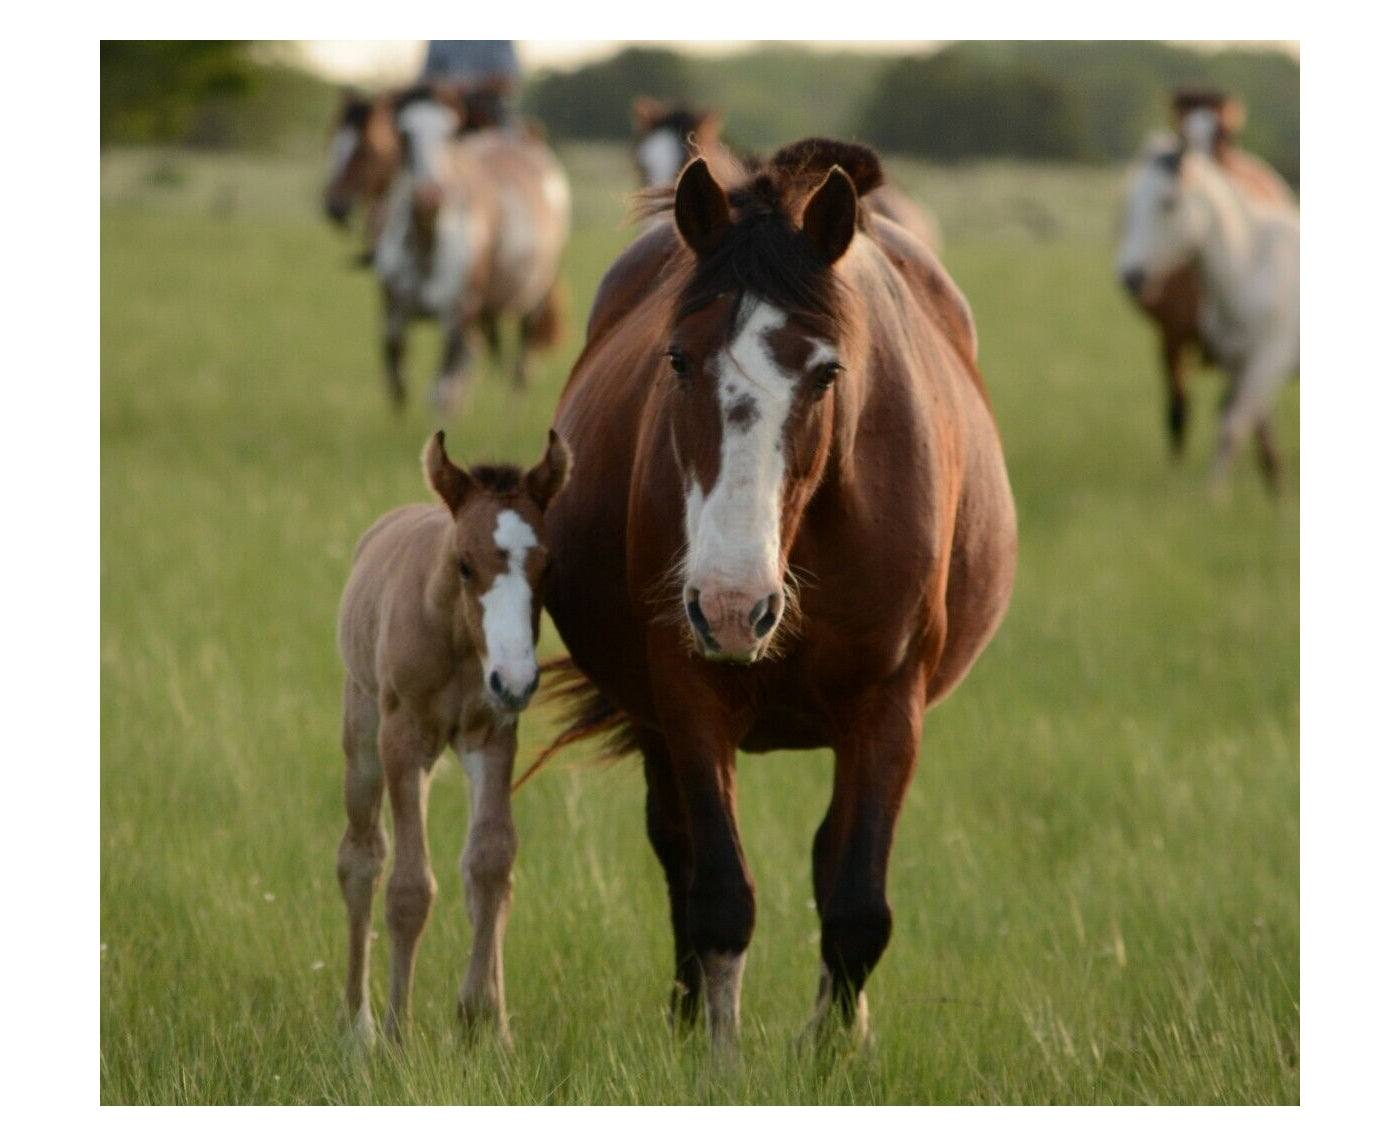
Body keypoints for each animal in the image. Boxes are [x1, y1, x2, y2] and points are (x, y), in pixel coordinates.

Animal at [335, 429, 572, 1049]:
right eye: (466, 564)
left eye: (548, 564)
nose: (516, 679)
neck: (459, 640)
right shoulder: (402, 742)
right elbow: (408, 887)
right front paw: (397, 1036)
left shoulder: (493, 735)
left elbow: (490, 862)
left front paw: (484, 1022)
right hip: (363, 736)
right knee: (360, 858)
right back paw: (357, 1026)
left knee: (477, 870)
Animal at [373, 86, 571, 414]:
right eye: (403, 134)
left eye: (449, 134)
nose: (429, 197)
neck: (427, 244)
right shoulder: (393, 314)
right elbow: (397, 382)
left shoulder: (457, 317)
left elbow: (441, 392)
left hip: (534, 300)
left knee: (521, 367)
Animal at [535, 139, 1017, 1057]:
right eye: (677, 359)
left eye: (826, 373)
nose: (733, 606)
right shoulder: (687, 695)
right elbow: (720, 893)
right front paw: (715, 1057)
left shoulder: (890, 706)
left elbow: (857, 905)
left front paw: (832, 1057)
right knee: (679, 852)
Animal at [1117, 120, 1300, 494]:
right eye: (1131, 202)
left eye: (1168, 202)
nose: (1130, 276)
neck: (1251, 268)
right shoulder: (1238, 365)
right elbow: (1236, 425)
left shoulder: (1268, 362)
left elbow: (1233, 428)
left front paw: (1214, 496)